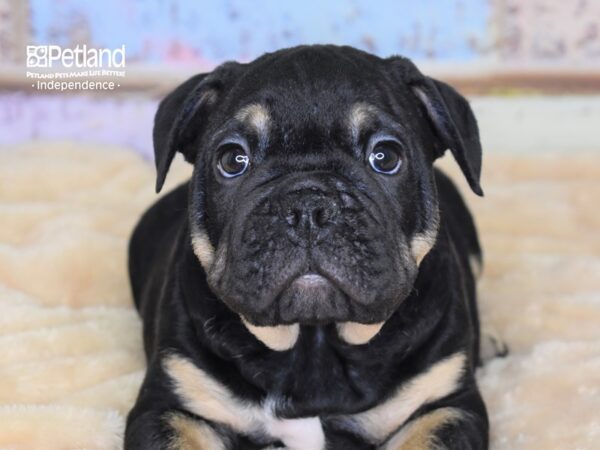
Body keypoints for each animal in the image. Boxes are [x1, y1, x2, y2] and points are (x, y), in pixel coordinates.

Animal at [125, 43, 492, 450]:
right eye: (233, 160)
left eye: (386, 156)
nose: (307, 205)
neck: (313, 342)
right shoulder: (171, 406)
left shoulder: (445, 405)